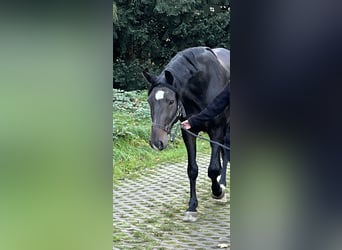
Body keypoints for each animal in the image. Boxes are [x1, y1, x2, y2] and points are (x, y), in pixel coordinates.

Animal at [142, 46, 230, 222]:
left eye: (171, 101)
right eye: (149, 101)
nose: (156, 142)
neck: (203, 83)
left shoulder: (217, 129)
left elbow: (213, 169)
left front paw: (218, 191)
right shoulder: (188, 132)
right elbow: (192, 170)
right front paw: (192, 207)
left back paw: (222, 186)